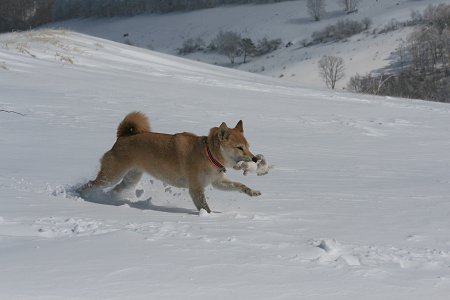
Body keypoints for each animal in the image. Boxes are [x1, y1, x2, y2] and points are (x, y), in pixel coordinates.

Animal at [79, 111, 262, 212]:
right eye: (239, 148)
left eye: (248, 146)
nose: (255, 158)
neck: (208, 154)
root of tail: (122, 137)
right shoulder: (196, 188)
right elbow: (204, 206)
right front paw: (209, 217)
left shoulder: (217, 182)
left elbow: (239, 186)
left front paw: (252, 191)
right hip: (112, 175)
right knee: (90, 184)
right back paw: (80, 195)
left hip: (130, 179)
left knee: (114, 190)